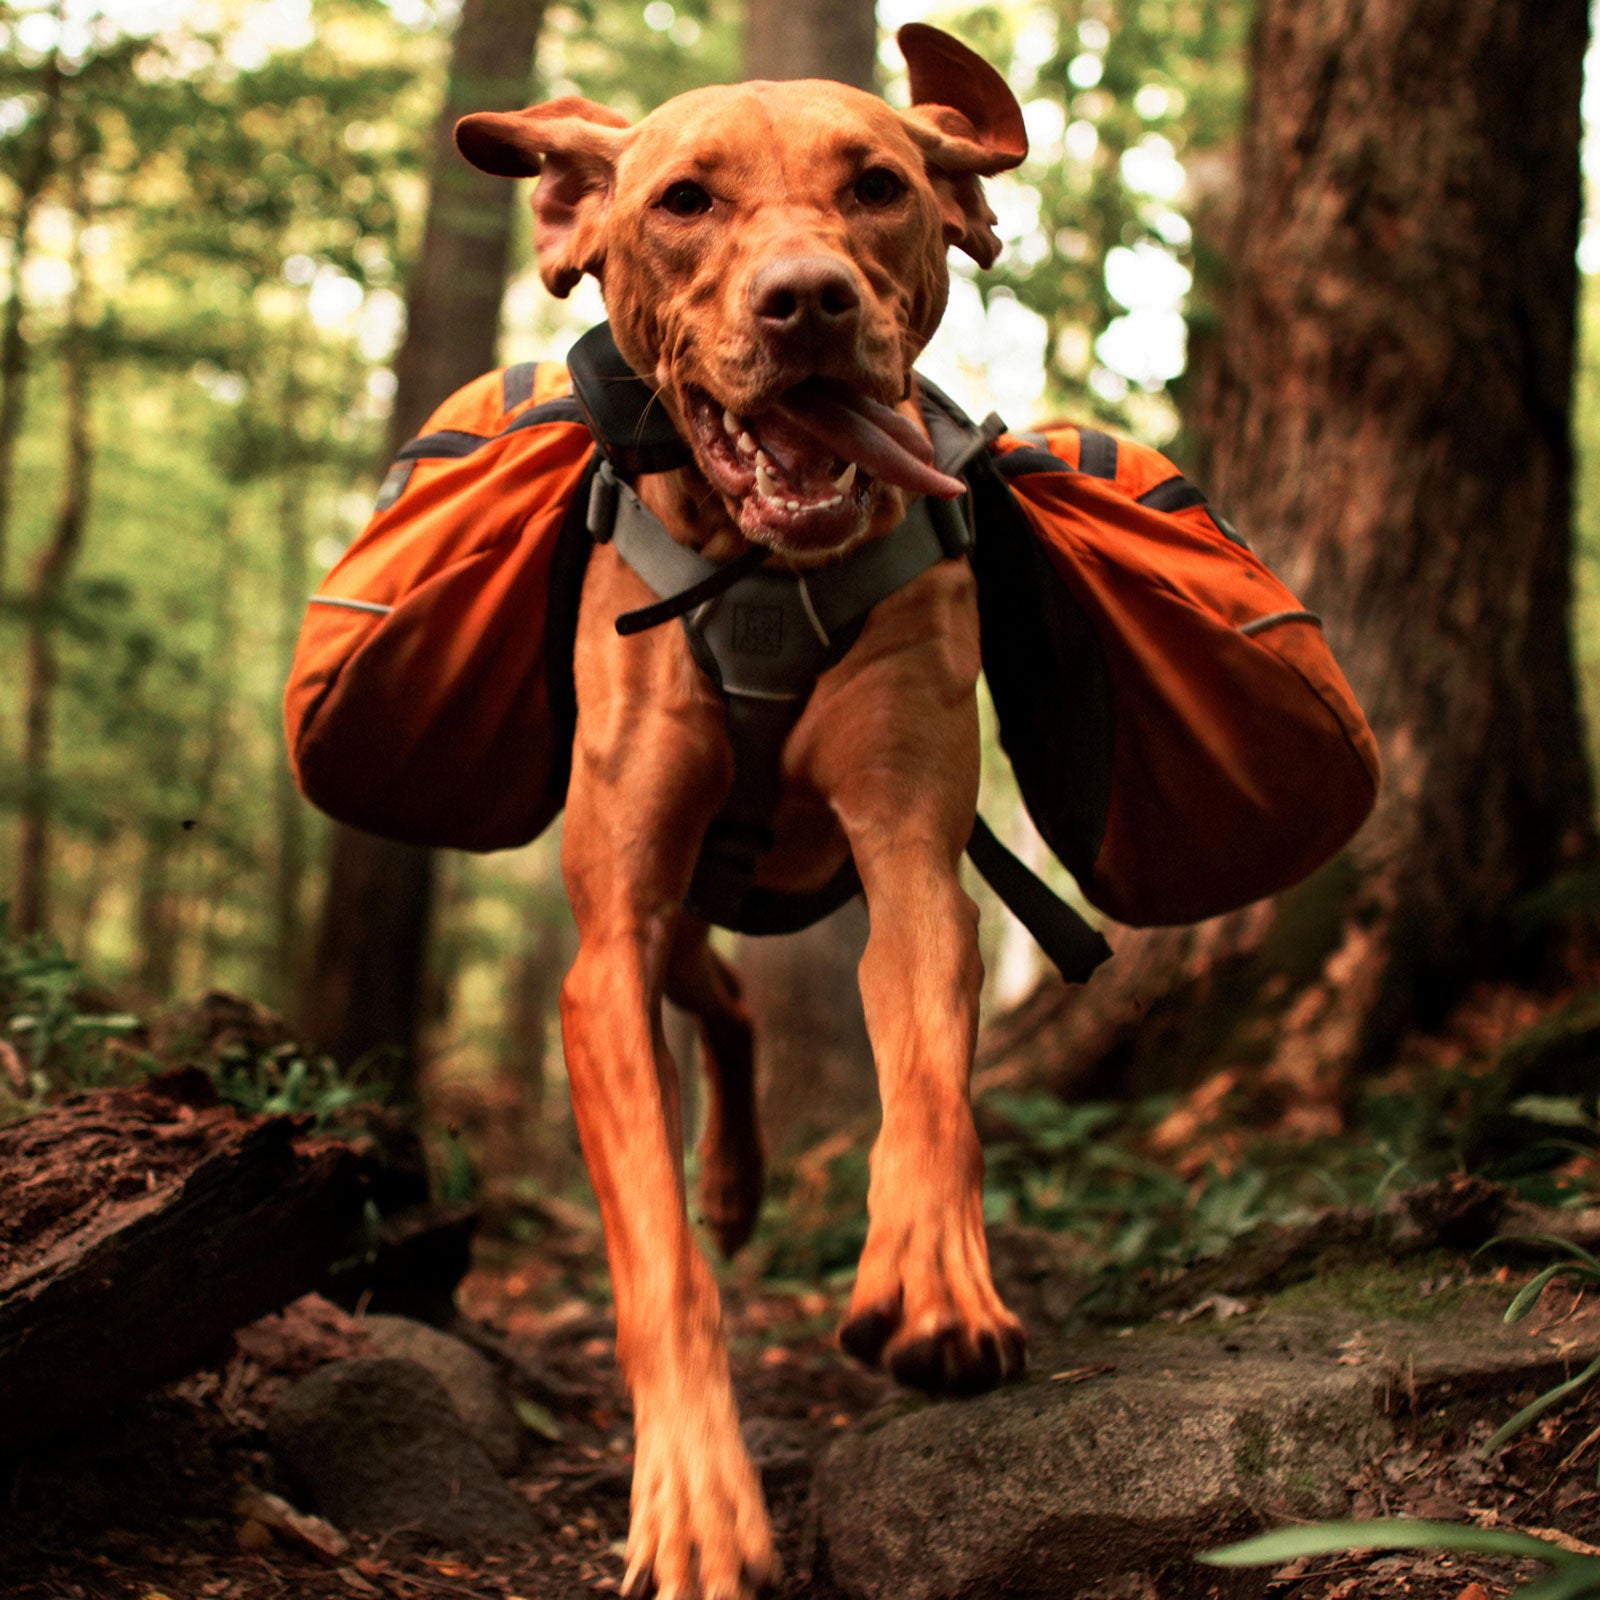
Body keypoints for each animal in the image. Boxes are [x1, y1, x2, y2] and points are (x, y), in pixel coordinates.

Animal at [460, 28, 1036, 1600]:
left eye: (880, 186)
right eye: (684, 201)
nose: (808, 303)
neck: (759, 571)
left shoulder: (910, 859)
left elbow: (929, 1084)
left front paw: (932, 1276)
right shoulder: (607, 948)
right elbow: (657, 1261)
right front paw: (694, 1500)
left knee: (732, 1005)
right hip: (655, 907)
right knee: (708, 996)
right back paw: (724, 1185)